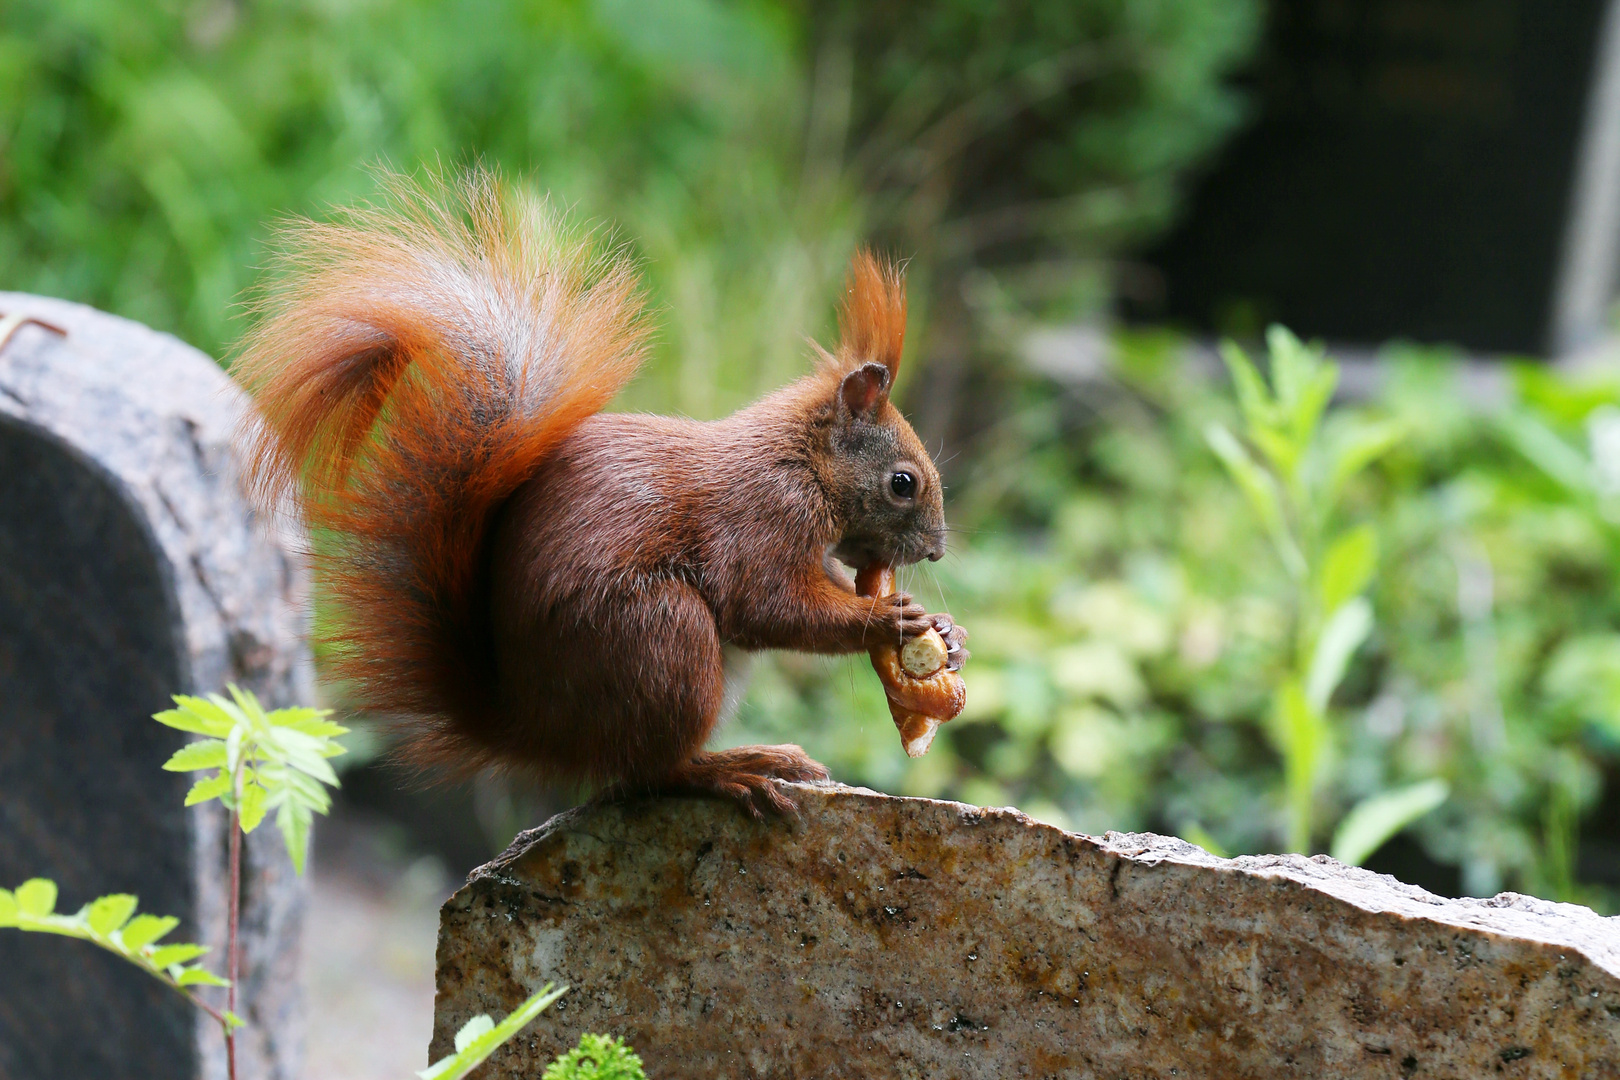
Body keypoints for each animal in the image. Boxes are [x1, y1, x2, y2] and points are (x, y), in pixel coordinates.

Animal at [236, 169, 965, 816]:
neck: (803, 463)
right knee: (652, 771)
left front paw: (947, 634)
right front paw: (888, 619)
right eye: (903, 483)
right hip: (661, 639)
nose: (935, 552)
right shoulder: (762, 516)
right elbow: (769, 606)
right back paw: (734, 770)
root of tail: (536, 729)